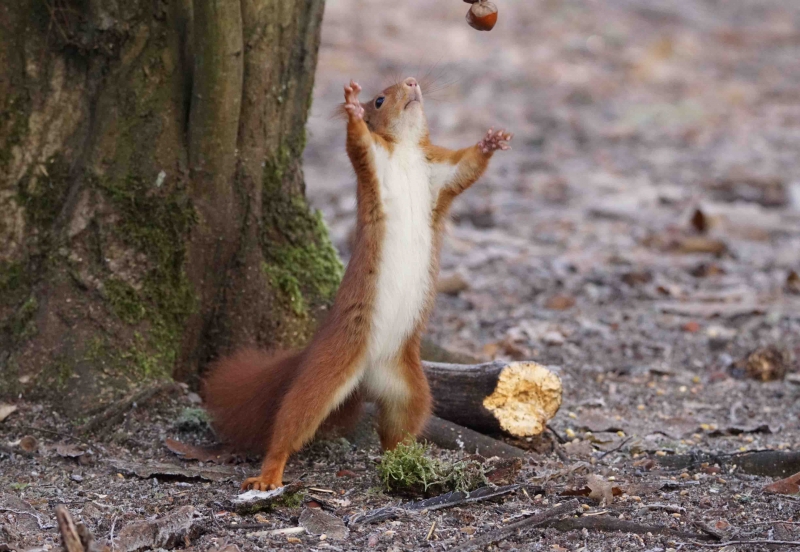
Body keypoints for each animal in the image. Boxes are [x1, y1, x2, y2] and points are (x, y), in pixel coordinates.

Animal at [202, 75, 512, 490]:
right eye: (379, 99)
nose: (412, 82)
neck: (405, 149)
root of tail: (364, 377)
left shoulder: (438, 176)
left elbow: (466, 169)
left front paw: (489, 142)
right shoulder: (373, 163)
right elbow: (358, 143)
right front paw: (351, 108)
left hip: (409, 388)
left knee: (398, 427)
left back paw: (404, 459)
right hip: (327, 371)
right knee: (292, 421)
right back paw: (270, 472)